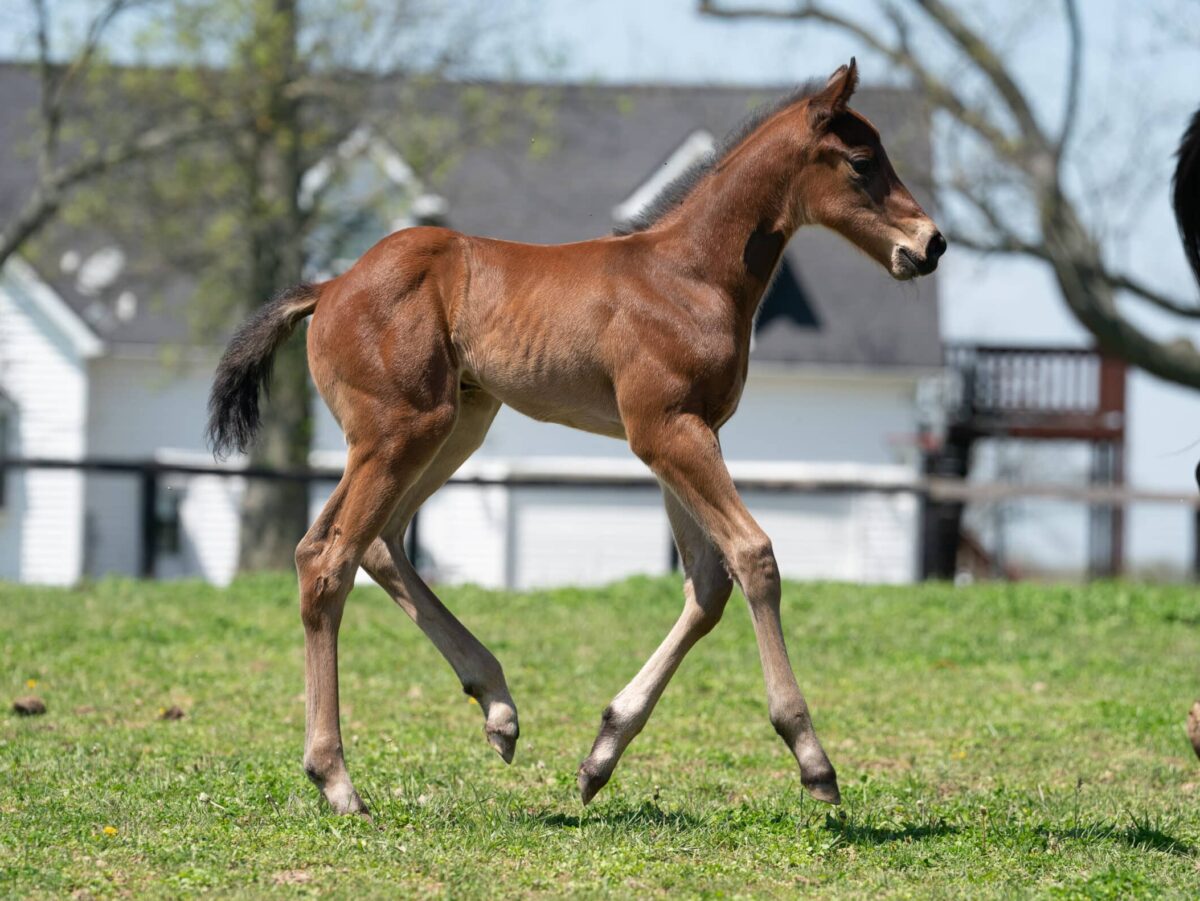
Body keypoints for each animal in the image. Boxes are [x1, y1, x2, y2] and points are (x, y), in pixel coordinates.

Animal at [213, 59, 945, 815]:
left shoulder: (687, 432)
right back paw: (336, 778)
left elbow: (707, 584)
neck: (689, 275)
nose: (930, 244)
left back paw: (497, 706)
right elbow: (754, 557)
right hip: (401, 430)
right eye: (862, 162)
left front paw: (602, 753)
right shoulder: (665, 430)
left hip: (452, 424)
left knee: (366, 543)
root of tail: (330, 286)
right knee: (331, 560)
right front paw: (811, 757)